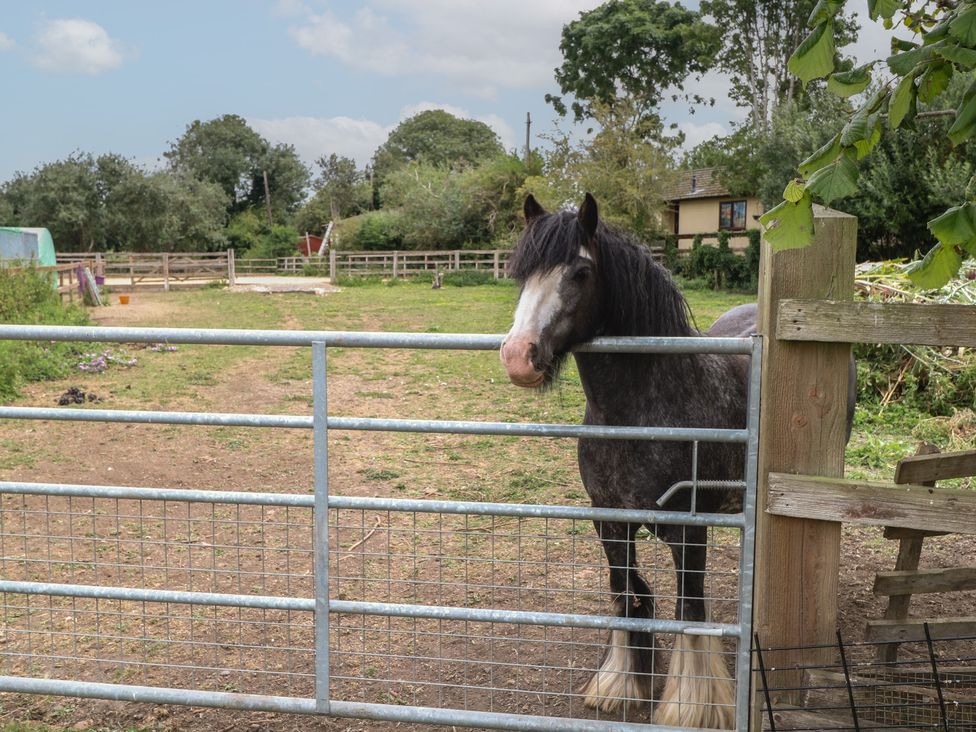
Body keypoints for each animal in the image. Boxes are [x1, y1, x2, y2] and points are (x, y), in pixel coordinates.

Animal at [499, 193, 852, 728]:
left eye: (580, 272)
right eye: (521, 272)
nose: (519, 356)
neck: (638, 412)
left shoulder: (688, 530)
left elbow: (690, 610)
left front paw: (691, 707)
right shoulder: (610, 520)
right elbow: (627, 593)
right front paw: (621, 685)